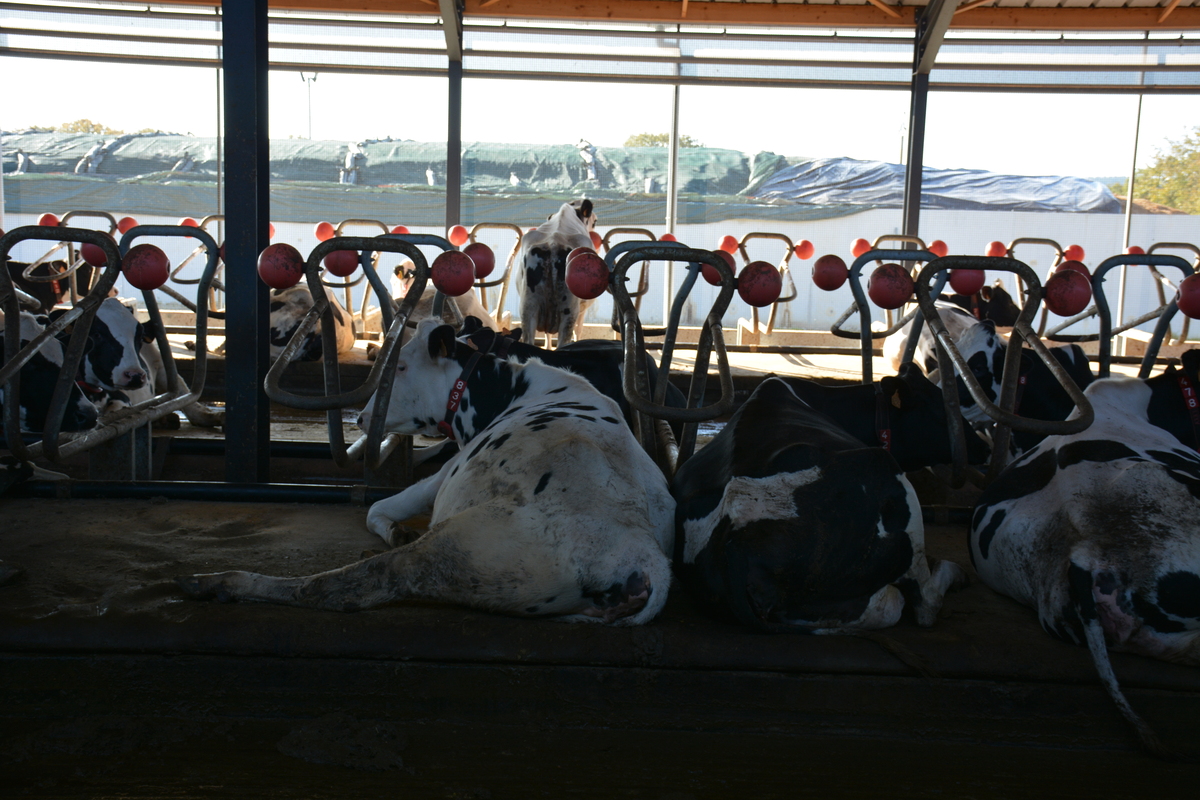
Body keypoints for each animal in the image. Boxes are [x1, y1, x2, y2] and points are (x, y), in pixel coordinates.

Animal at [178, 319, 676, 625]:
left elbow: (378, 507)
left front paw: (394, 528)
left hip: (458, 550)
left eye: (400, 365)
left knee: (339, 589)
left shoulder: (449, 469)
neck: (510, 388)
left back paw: (218, 582)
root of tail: (644, 562)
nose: (362, 418)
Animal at [513, 199, 597, 347]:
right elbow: (579, 330)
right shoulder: (583, 308)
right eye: (595, 221)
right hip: (569, 311)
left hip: (528, 307)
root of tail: (553, 243)